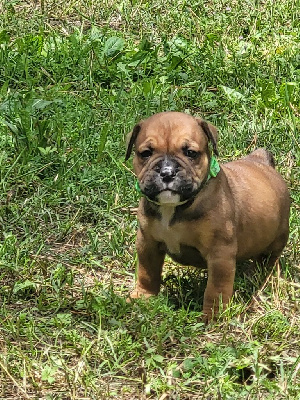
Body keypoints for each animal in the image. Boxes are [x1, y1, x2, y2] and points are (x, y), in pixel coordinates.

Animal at [125, 111, 290, 320]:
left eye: (190, 153)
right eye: (146, 153)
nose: (167, 172)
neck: (174, 207)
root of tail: (261, 161)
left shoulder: (220, 254)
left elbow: (216, 289)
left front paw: (213, 316)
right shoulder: (147, 243)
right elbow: (147, 272)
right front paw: (143, 296)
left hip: (277, 238)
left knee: (269, 259)